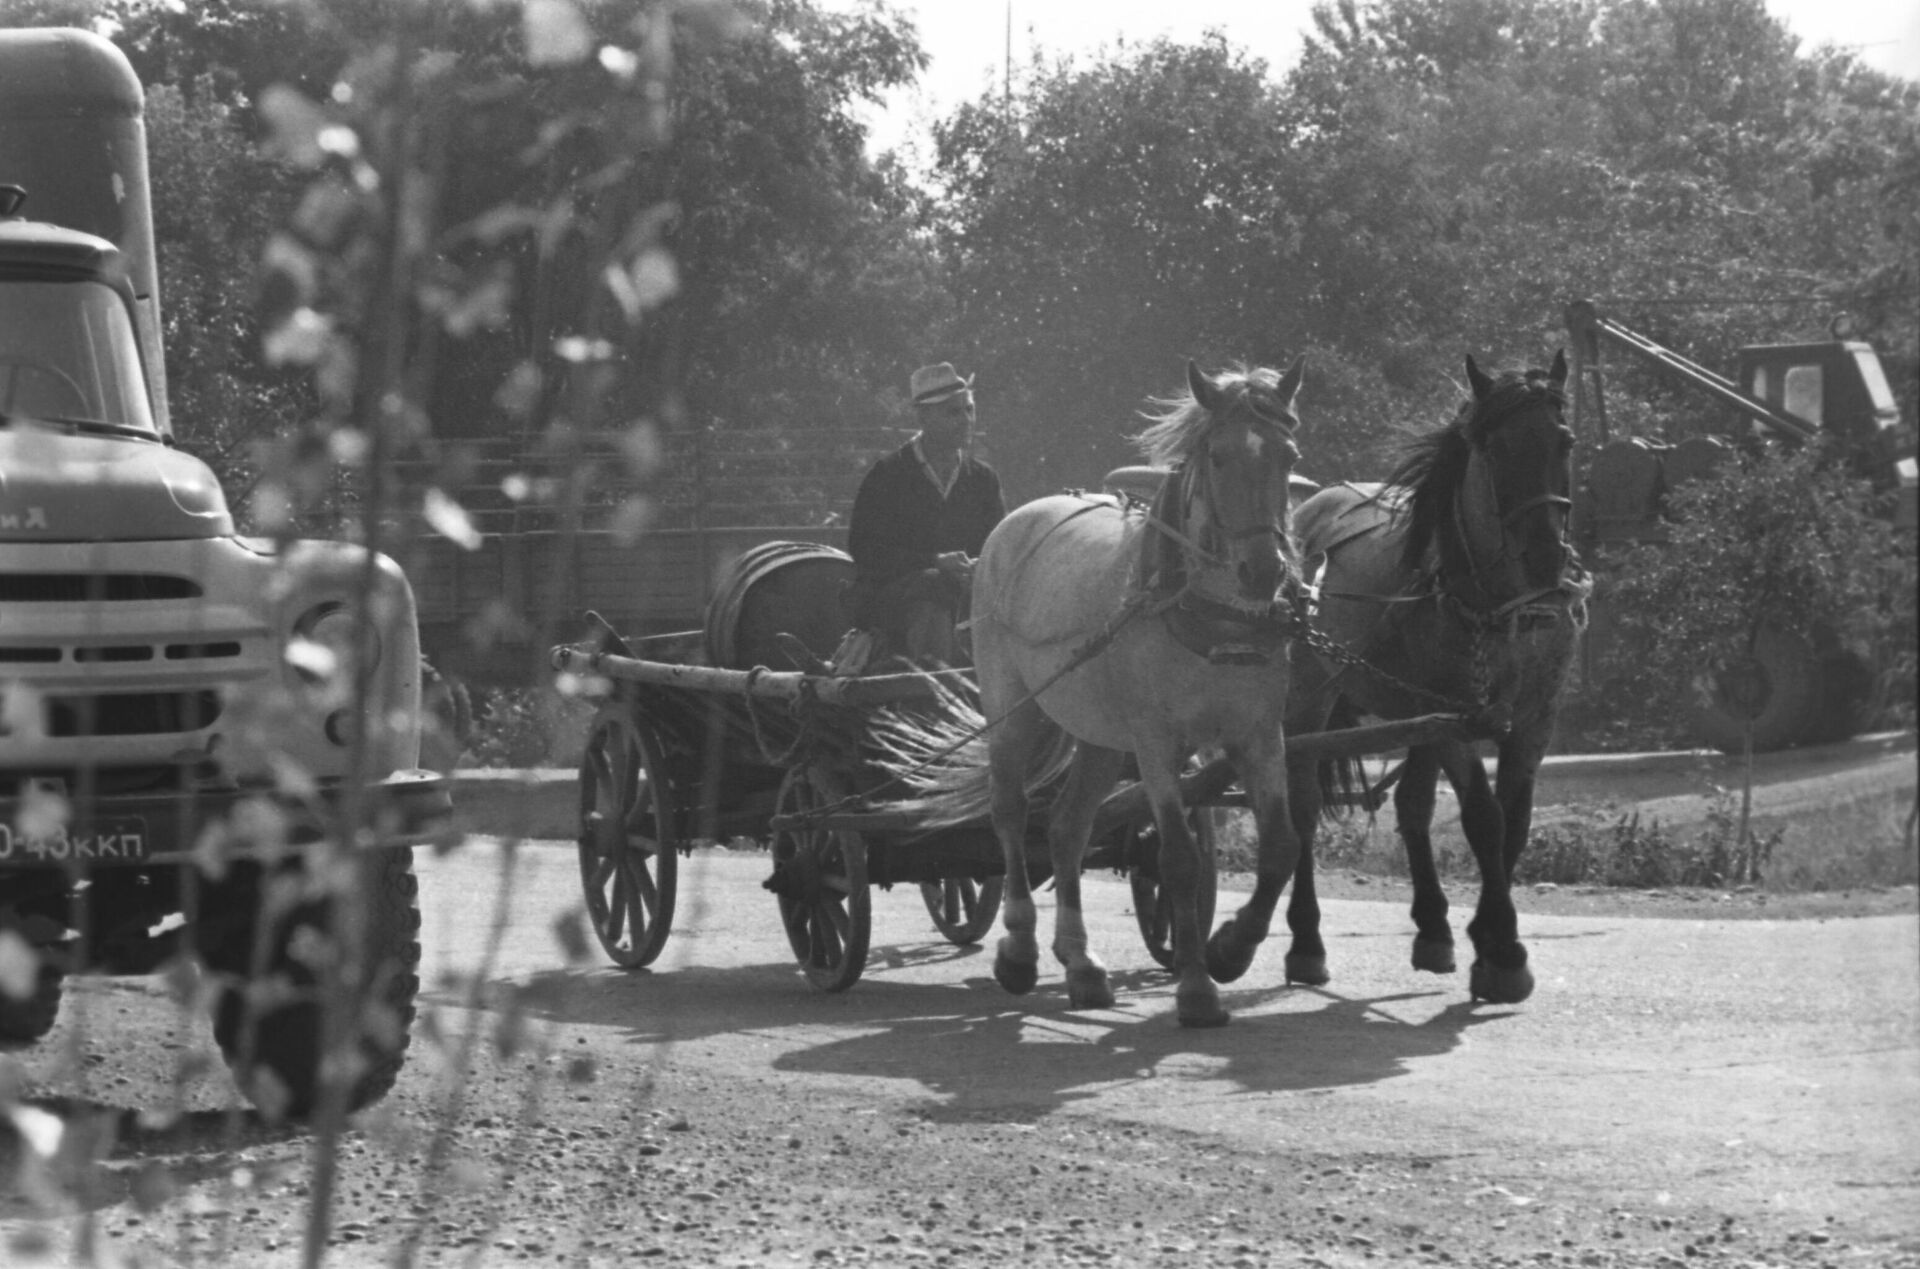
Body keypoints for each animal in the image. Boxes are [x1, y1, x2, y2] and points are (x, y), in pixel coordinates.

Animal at [1221, 351, 1582, 1005]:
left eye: (1563, 440)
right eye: (1494, 447)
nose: (1546, 558)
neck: (1502, 606)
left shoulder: (1533, 722)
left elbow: (1513, 825)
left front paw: (1486, 936)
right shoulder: (1457, 717)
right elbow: (1485, 819)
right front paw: (1504, 954)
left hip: (1412, 713)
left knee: (1413, 806)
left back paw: (1434, 929)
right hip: (1313, 702)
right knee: (1305, 808)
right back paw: (1306, 943)